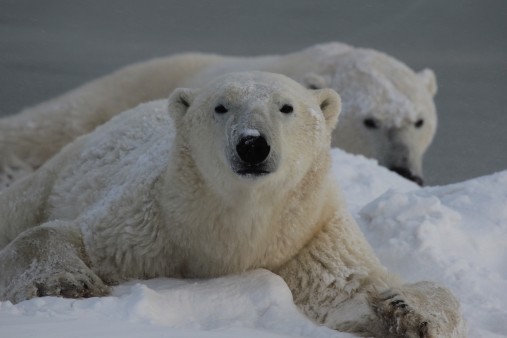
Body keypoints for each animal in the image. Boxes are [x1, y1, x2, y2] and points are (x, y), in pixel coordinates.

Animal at [0, 72, 466, 336]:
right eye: (221, 107)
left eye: (286, 107)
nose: (253, 145)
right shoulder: (149, 225)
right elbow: (62, 234)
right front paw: (66, 284)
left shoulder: (307, 237)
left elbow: (350, 289)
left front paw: (407, 311)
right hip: (58, 170)